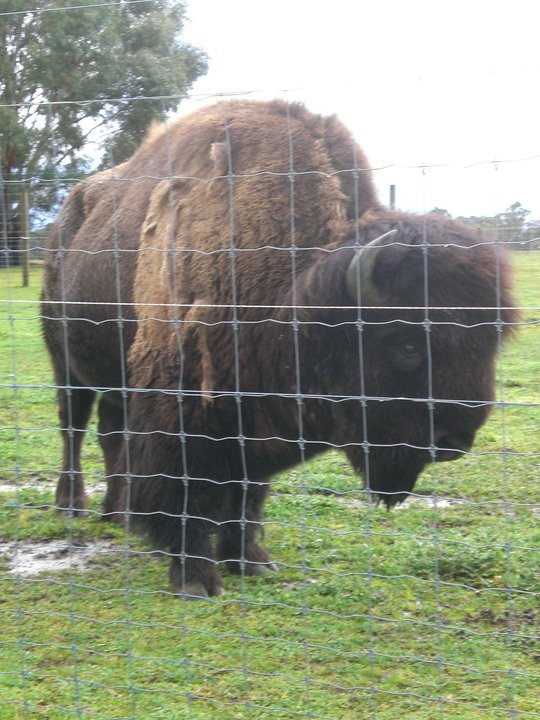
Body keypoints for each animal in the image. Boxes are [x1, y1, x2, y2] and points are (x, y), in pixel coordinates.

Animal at [41, 100, 517, 598]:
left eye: (488, 345)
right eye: (407, 345)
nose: (453, 442)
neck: (291, 294)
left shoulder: (254, 422)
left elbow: (248, 494)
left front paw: (251, 561)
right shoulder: (181, 410)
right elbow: (185, 490)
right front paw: (196, 581)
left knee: (109, 432)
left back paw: (118, 514)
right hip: (63, 363)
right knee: (73, 428)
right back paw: (72, 505)